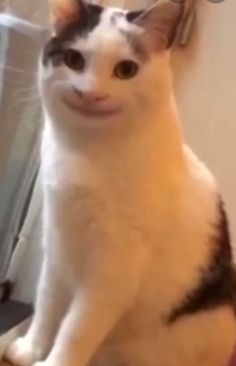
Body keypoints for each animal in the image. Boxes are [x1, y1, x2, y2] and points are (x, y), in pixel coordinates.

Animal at [4, 0, 236, 366]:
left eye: (126, 70)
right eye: (73, 60)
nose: (91, 94)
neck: (86, 153)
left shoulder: (114, 273)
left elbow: (76, 329)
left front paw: (54, 361)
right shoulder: (57, 242)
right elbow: (47, 302)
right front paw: (30, 349)